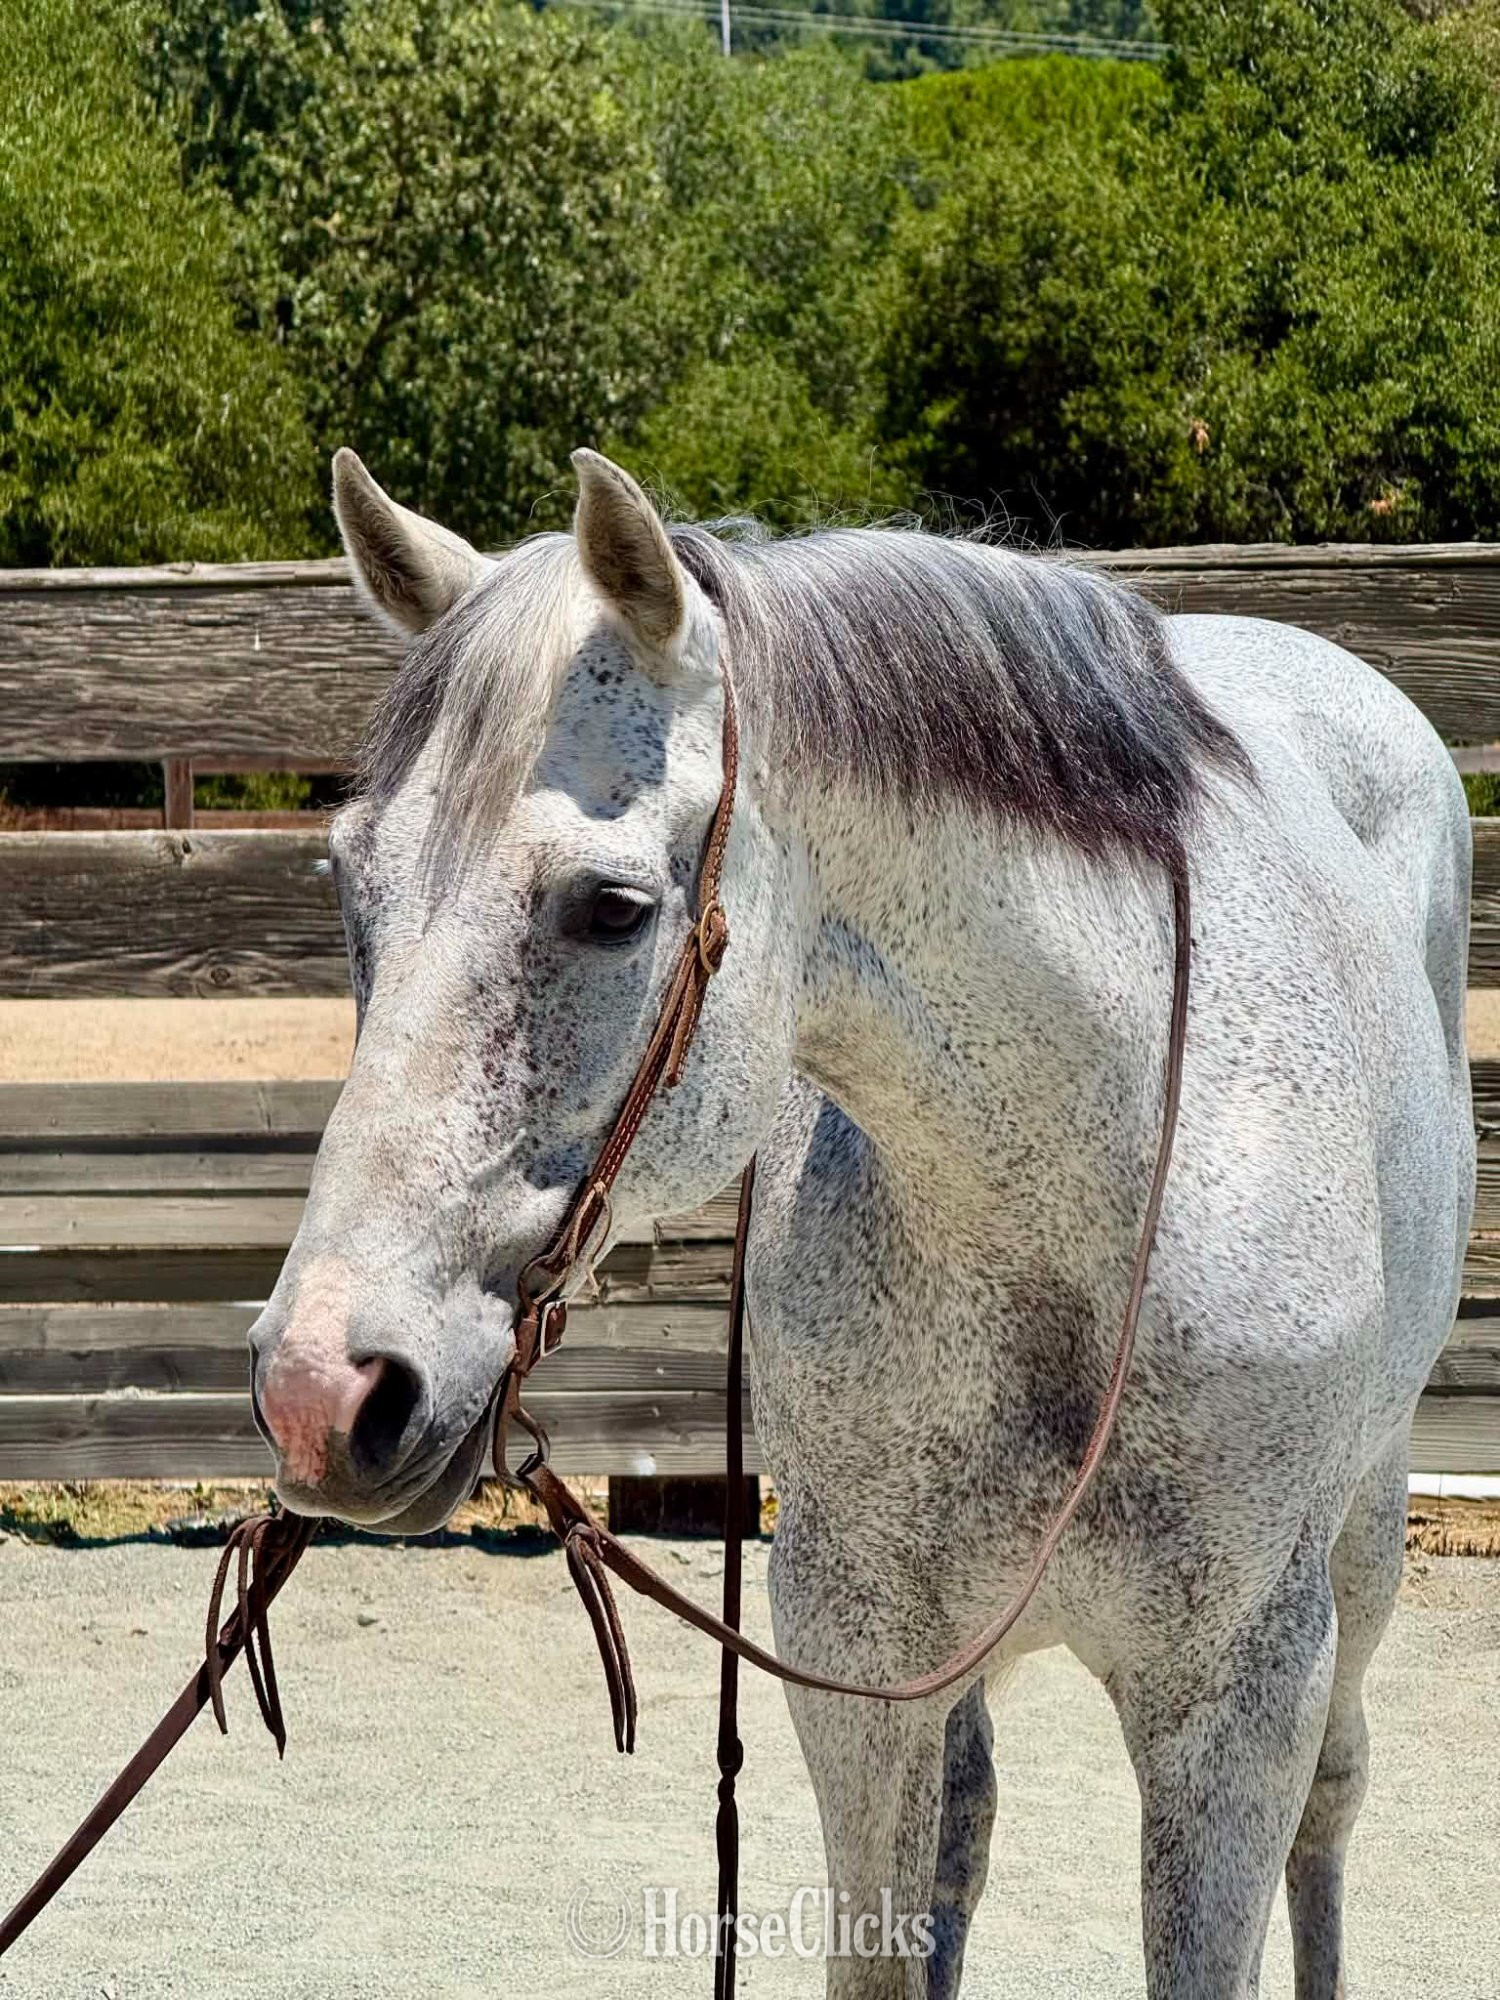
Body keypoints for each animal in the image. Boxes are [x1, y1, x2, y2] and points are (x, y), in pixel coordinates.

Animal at [248, 446, 1474, 1998]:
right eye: (352, 879)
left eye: (610, 908)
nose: (319, 1393)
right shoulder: (859, 1655)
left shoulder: (1241, 1698)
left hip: (1363, 1553)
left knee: (1337, 1792)